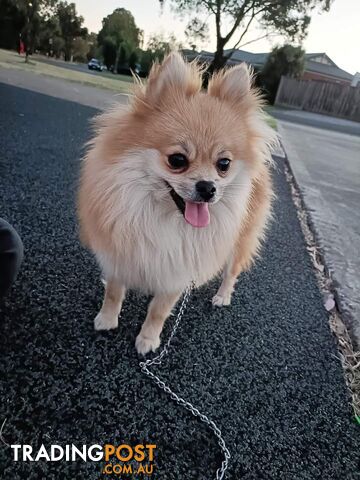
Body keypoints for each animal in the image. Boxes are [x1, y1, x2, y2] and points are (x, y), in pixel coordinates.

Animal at [78, 52, 276, 354]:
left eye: (224, 164)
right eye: (177, 160)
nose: (208, 188)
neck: (161, 216)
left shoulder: (179, 269)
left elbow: (158, 310)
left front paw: (148, 339)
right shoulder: (118, 252)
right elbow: (113, 291)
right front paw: (107, 319)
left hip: (240, 240)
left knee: (232, 271)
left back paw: (222, 296)